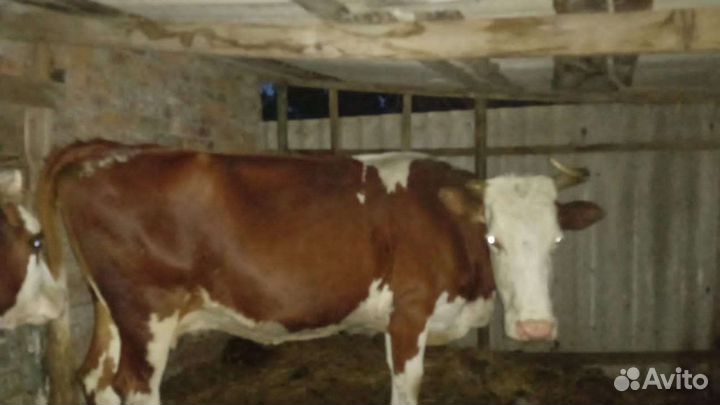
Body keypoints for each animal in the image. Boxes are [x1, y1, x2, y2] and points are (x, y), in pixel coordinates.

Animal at [0, 140, 604, 405]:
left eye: (556, 240)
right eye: (494, 238)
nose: (535, 329)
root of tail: (108, 151)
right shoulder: (408, 314)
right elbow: (407, 388)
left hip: (112, 309)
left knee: (95, 378)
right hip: (147, 312)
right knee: (134, 386)